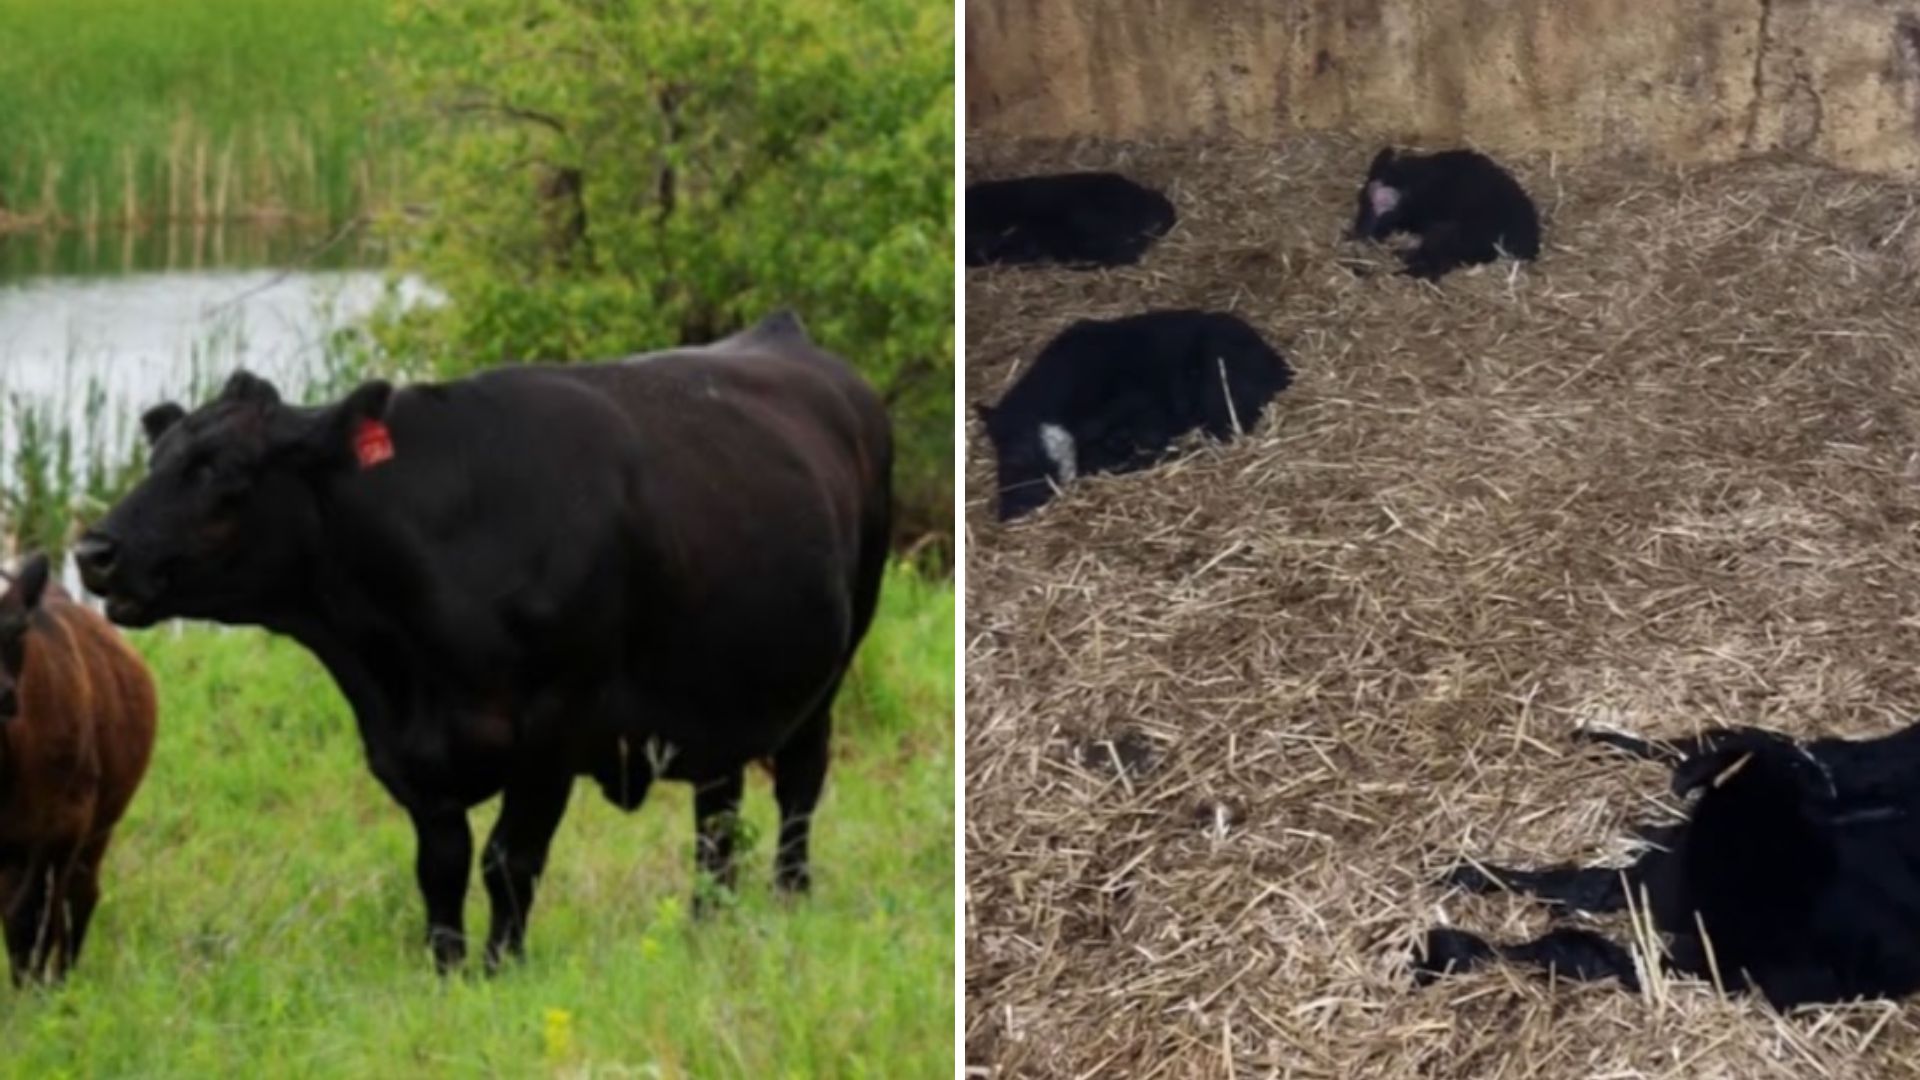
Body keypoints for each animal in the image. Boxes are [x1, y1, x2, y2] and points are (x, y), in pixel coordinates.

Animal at [0, 552, 157, 984]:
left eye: (16, 627)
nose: (2, 694)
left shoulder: (63, 823)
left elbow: (33, 915)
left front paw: (33, 989)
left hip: (96, 828)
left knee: (77, 897)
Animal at [73, 310, 893, 973]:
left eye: (222, 470)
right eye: (159, 459)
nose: (93, 550)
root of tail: (784, 333)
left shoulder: (552, 734)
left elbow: (509, 861)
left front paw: (503, 968)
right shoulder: (407, 754)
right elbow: (440, 867)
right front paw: (447, 970)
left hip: (830, 669)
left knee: (798, 791)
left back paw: (789, 902)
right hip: (717, 693)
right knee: (717, 817)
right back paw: (707, 924)